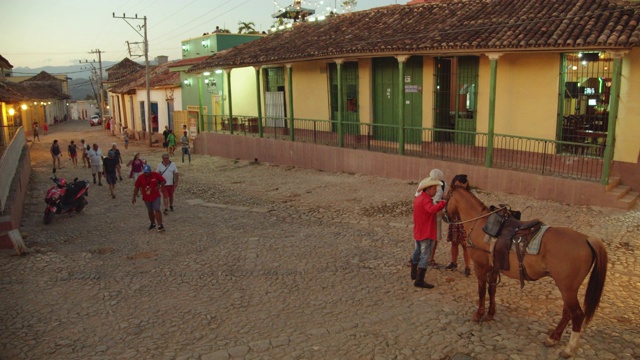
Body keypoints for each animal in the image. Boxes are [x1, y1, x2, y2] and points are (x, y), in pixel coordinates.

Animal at [442, 187, 608, 358]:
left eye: (446, 197)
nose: (444, 216)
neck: (480, 224)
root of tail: (587, 239)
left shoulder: (480, 267)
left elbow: (482, 291)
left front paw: (478, 314)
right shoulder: (494, 268)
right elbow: (492, 290)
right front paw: (490, 314)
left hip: (567, 288)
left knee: (577, 315)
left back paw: (569, 349)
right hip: (568, 289)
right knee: (567, 312)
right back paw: (553, 338)